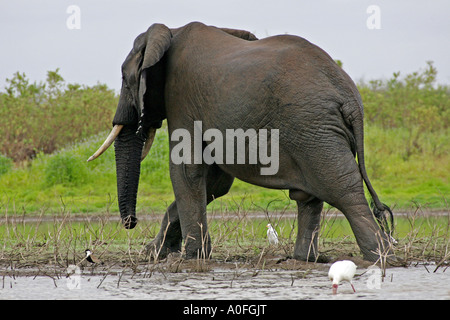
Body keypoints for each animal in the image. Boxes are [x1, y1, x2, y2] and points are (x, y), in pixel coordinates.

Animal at [89, 20, 394, 262]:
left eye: (124, 78)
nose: (131, 223)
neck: (170, 32)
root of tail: (350, 97)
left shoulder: (181, 96)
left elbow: (186, 170)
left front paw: (191, 258)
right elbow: (214, 181)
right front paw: (155, 253)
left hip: (314, 129)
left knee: (343, 191)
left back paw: (379, 258)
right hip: (314, 131)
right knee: (310, 197)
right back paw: (304, 259)